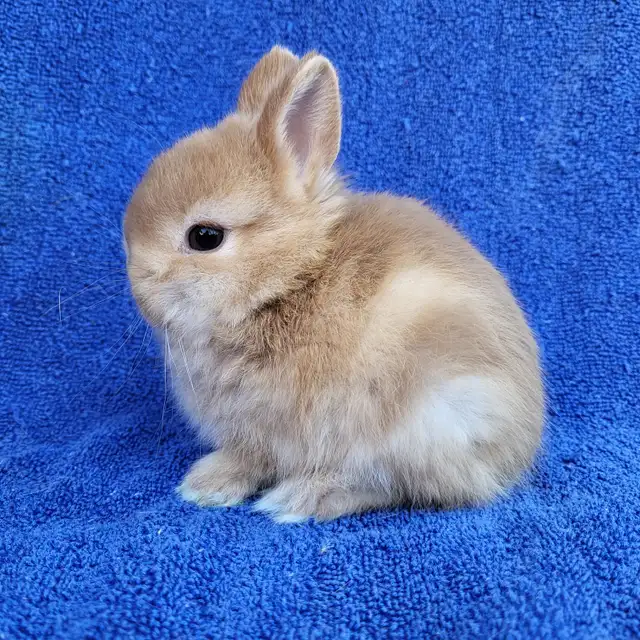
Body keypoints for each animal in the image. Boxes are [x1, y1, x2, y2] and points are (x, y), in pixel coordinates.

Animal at [124, 46, 544, 522]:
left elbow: (254, 459)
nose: (139, 291)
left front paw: (205, 487)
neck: (288, 281)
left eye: (205, 237)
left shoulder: (269, 431)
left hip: (419, 422)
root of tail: (518, 449)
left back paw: (300, 499)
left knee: (392, 485)